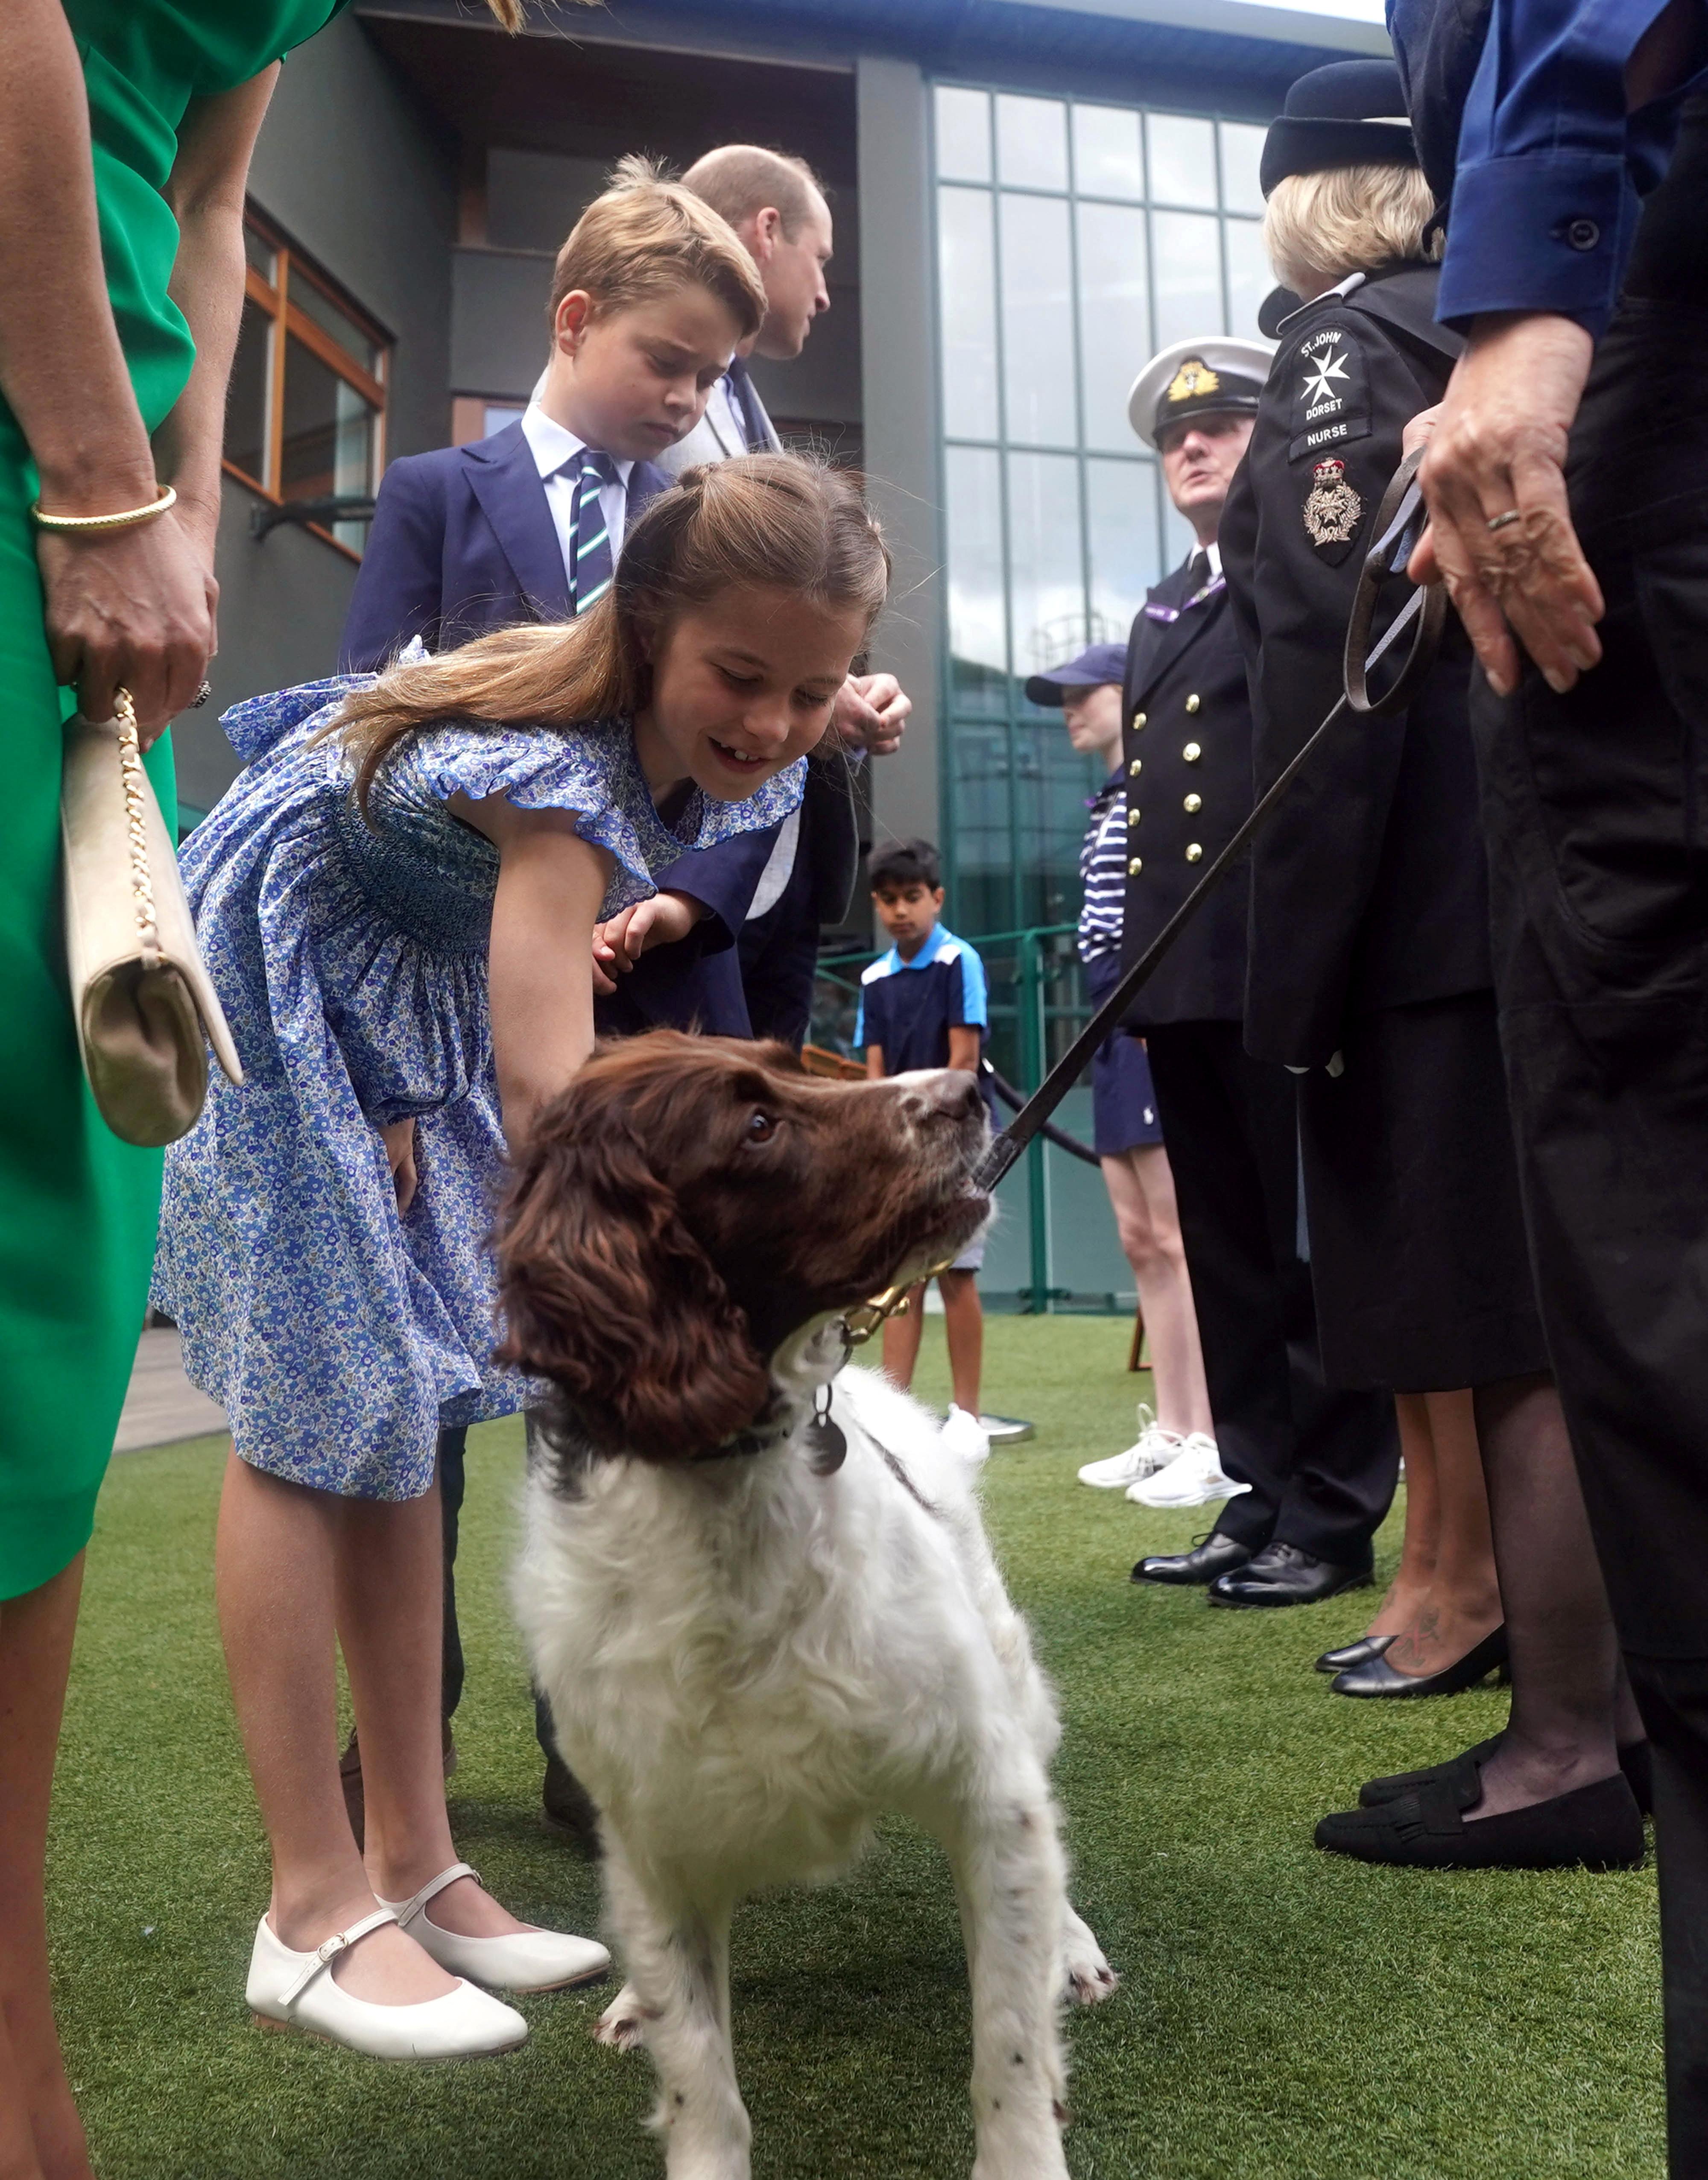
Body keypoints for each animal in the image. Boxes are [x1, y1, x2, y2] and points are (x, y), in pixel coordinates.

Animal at [498, 1033, 1116, 2180]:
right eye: (756, 1125)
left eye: (793, 1064)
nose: (970, 1086)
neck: (730, 1495)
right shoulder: (654, 1834)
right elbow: (700, 2073)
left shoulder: (983, 1783)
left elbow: (1007, 2044)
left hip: (1014, 1683)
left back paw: (1074, 1948)